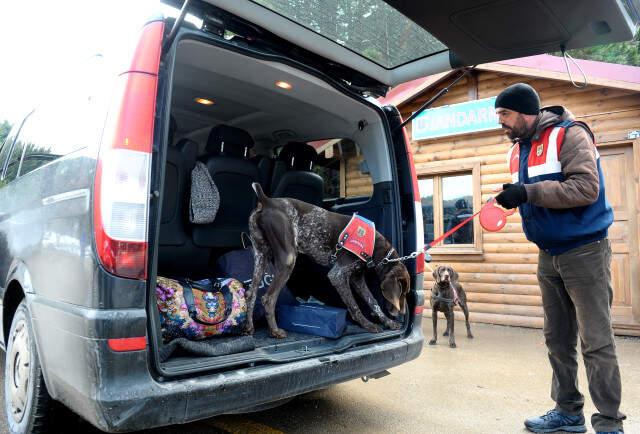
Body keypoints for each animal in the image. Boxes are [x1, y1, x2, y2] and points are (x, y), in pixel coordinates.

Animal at [245, 183, 410, 340]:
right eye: (401, 292)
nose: (402, 313)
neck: (374, 245)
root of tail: (267, 201)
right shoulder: (337, 275)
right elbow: (354, 305)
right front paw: (368, 325)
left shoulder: (357, 278)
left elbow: (373, 301)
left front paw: (388, 322)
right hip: (288, 259)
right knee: (268, 298)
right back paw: (275, 331)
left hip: (261, 256)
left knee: (251, 293)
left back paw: (249, 328)